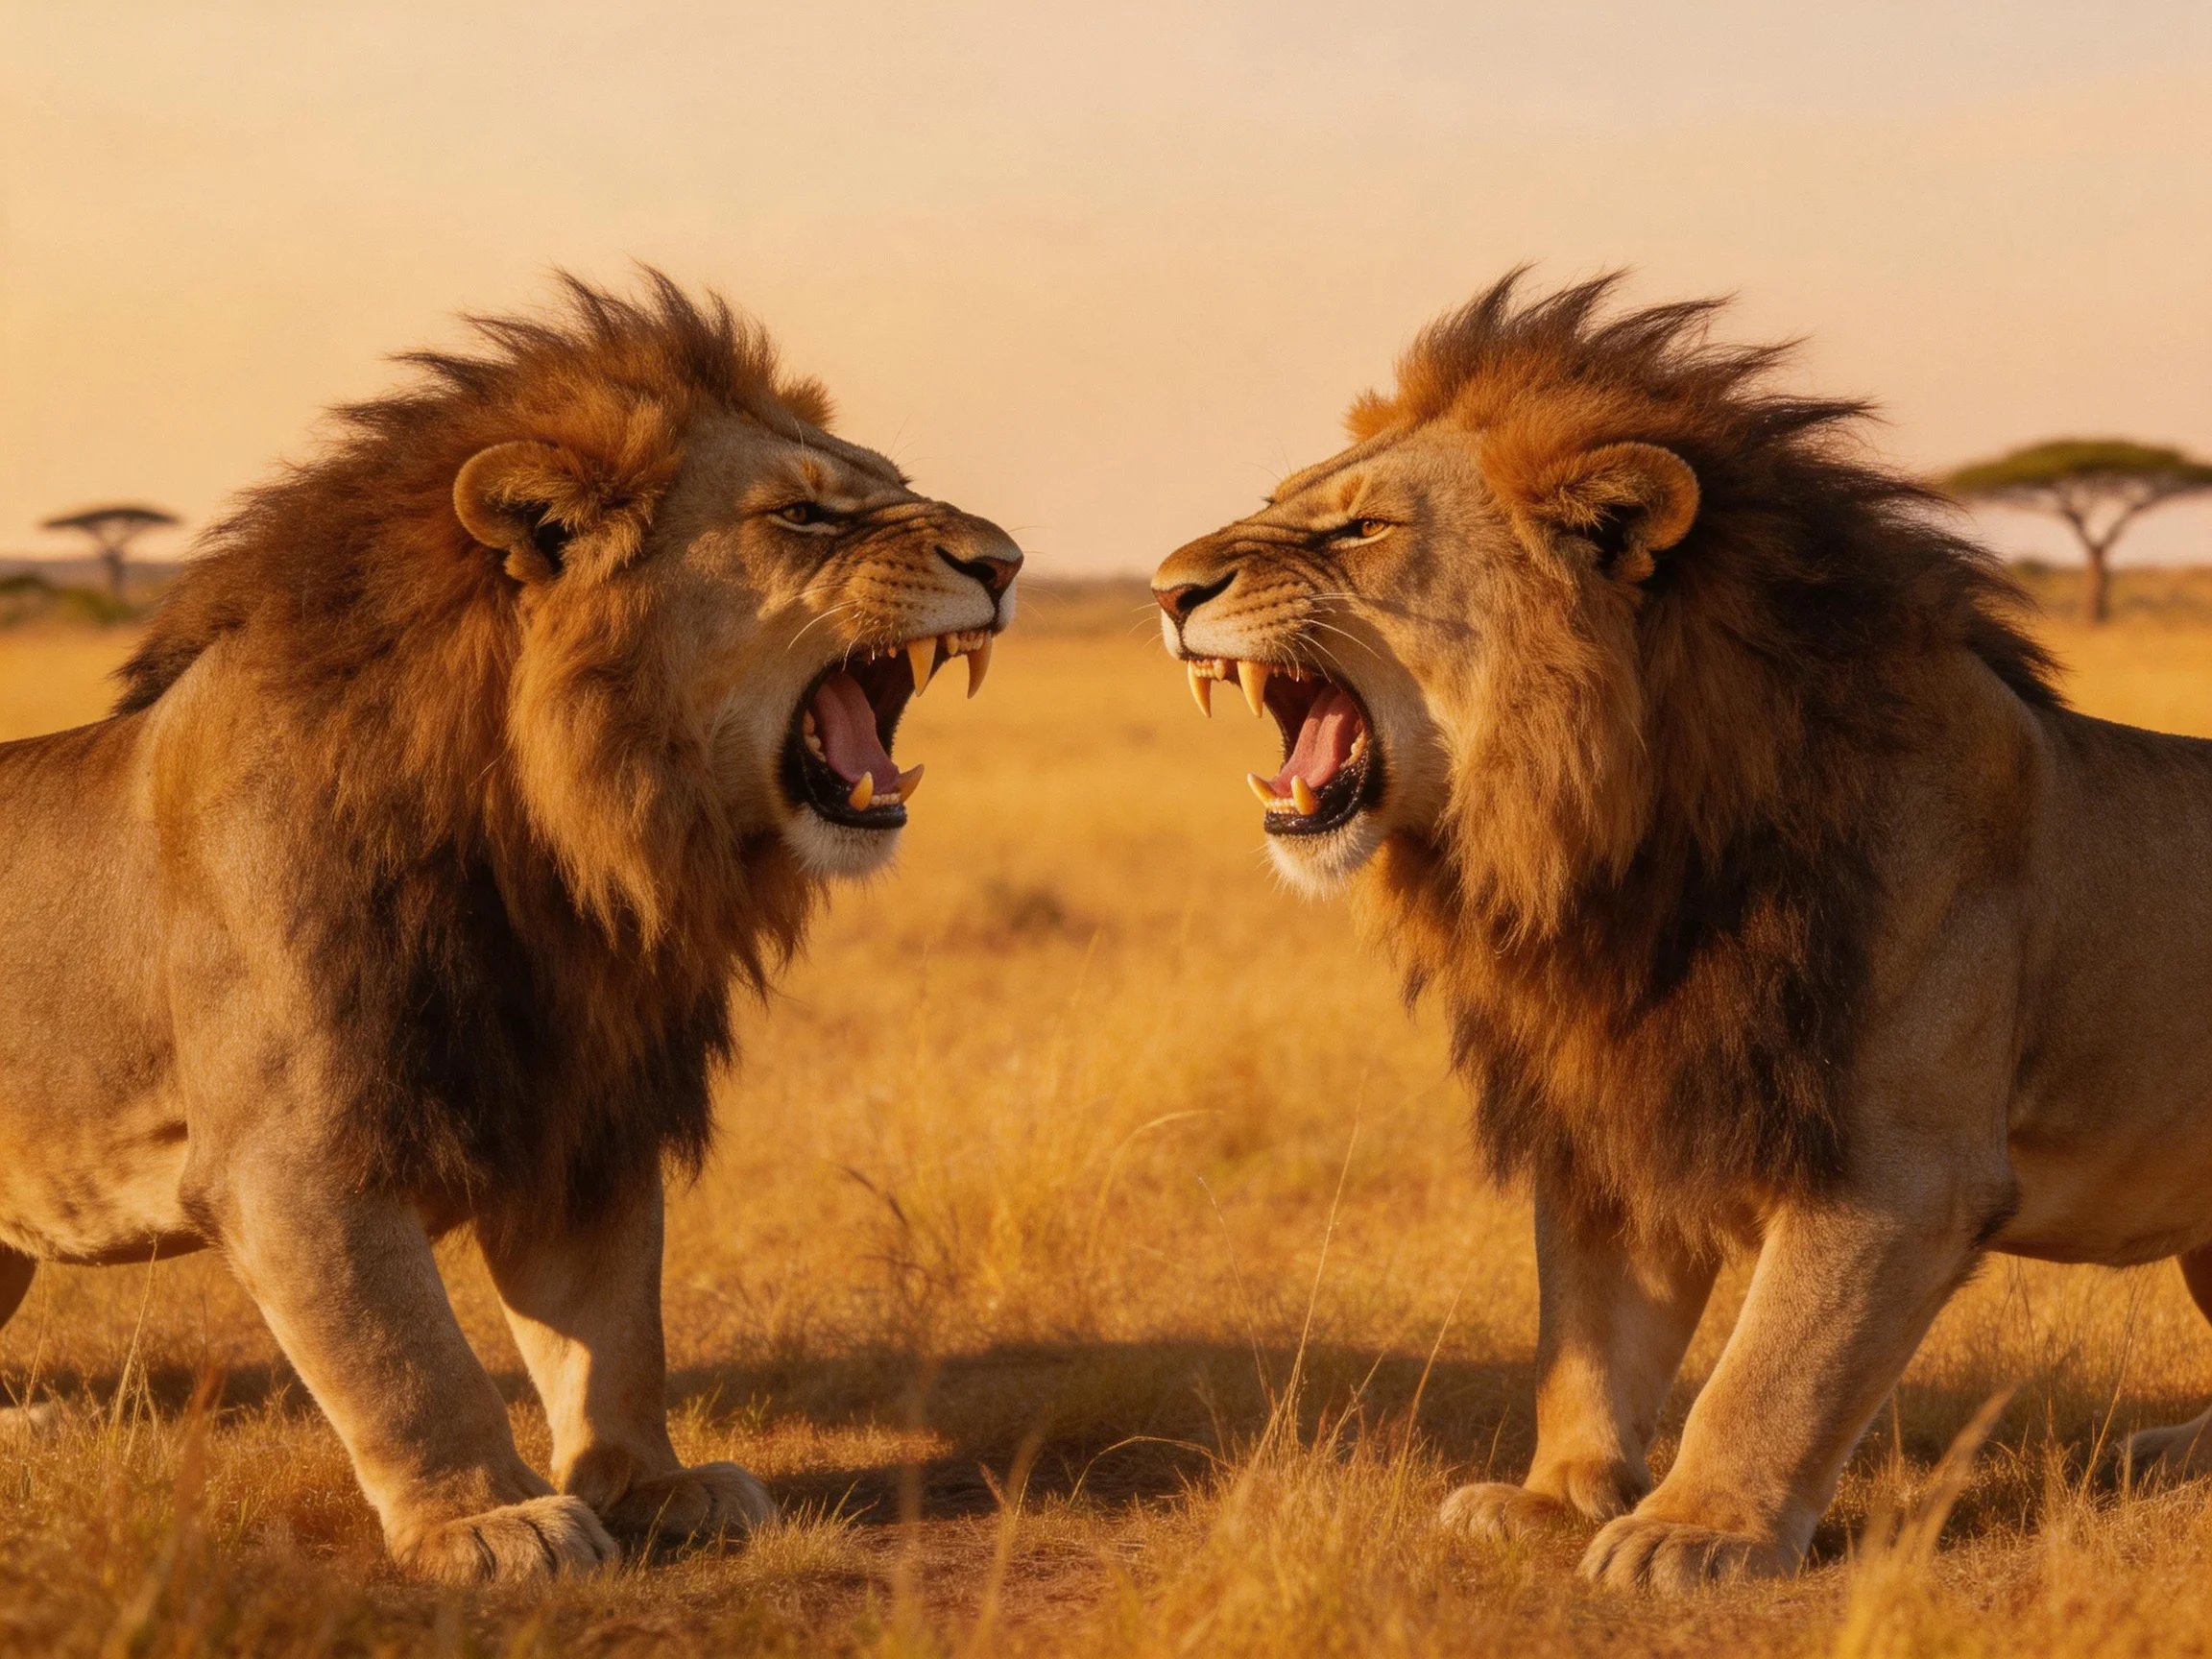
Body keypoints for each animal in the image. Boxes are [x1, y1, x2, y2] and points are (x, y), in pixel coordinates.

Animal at [0, 275, 1020, 1583]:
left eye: (888, 483)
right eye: (804, 515)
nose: (1008, 562)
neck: (556, 849)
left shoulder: (582, 1117)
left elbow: (611, 1327)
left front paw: (652, 1487)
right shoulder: (292, 1156)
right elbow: (403, 1353)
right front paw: (483, 1521)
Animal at [1151, 272, 2212, 1593]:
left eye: (1360, 532)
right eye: (1276, 507)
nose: (1164, 587)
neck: (1617, 857)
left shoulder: (1902, 1169)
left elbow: (1775, 1366)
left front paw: (1695, 1533)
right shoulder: (1617, 1108)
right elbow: (1591, 1332)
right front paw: (1555, 1499)